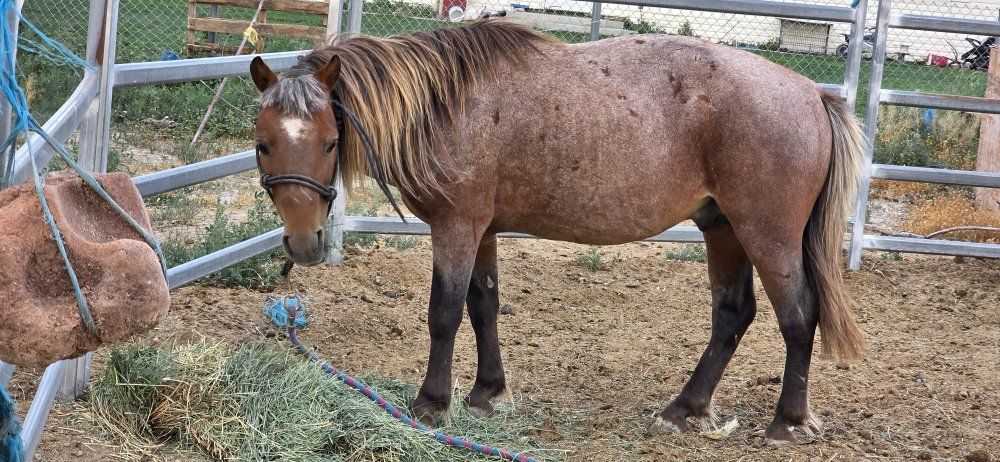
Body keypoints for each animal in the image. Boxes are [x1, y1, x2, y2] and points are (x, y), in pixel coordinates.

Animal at [248, 20, 866, 444]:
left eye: (331, 141)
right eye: (263, 144)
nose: (302, 242)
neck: (445, 106)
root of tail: (812, 94)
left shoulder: (456, 228)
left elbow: (444, 313)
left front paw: (431, 403)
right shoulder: (482, 231)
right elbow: (483, 305)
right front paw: (486, 392)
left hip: (767, 235)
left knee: (798, 316)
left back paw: (787, 421)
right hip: (724, 228)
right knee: (733, 315)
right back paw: (685, 408)